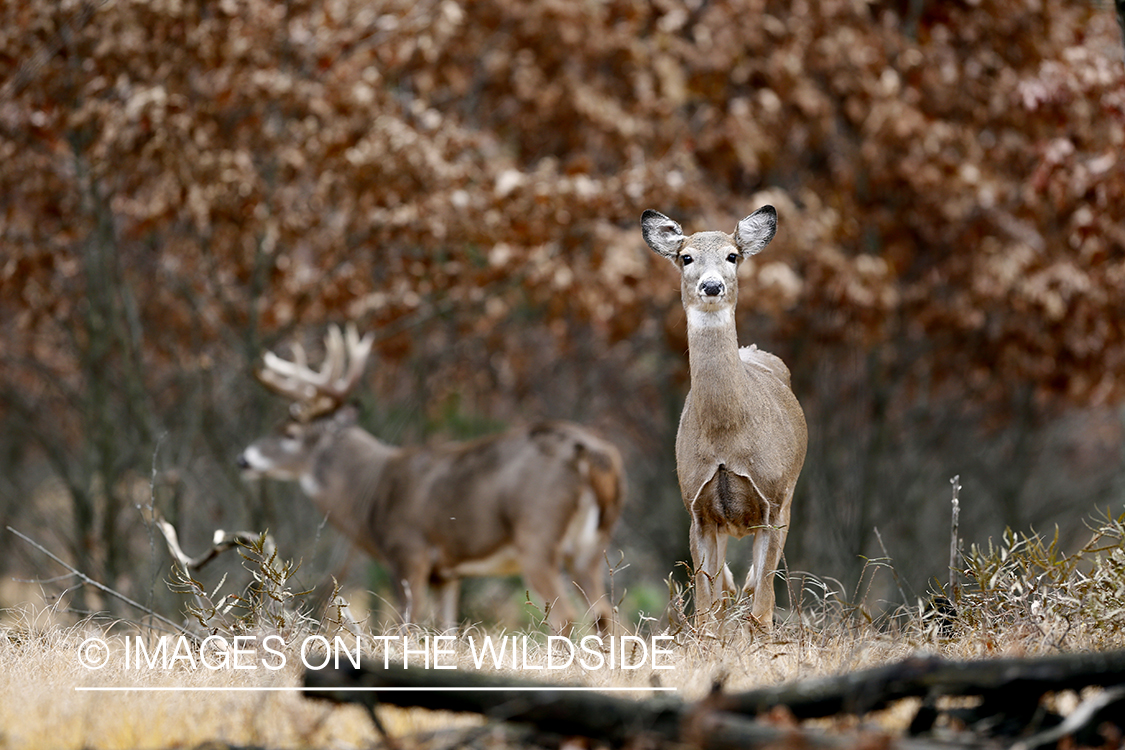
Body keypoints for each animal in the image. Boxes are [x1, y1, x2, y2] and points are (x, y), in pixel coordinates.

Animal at [237, 326, 625, 638]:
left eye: (289, 433)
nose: (244, 459)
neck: (370, 490)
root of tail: (594, 453)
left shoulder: (409, 551)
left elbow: (407, 623)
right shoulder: (447, 573)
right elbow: (447, 630)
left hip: (537, 535)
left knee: (566, 615)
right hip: (591, 547)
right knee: (604, 615)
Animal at [643, 206, 810, 634]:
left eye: (732, 255)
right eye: (686, 257)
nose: (712, 285)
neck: (726, 435)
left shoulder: (773, 501)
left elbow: (762, 604)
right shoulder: (696, 506)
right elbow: (706, 605)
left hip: (788, 497)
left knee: (752, 586)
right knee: (725, 592)